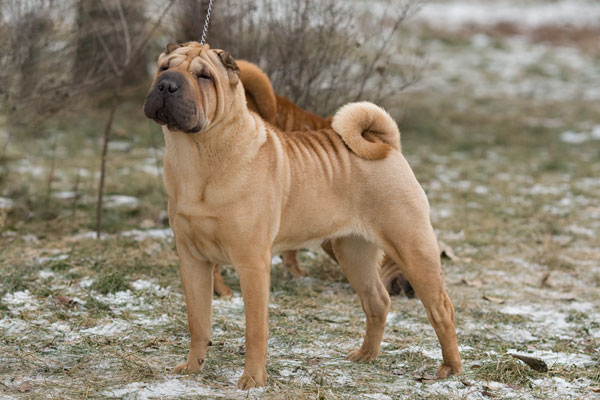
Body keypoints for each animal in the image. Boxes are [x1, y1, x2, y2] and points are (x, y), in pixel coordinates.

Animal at [143, 42, 462, 390]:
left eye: (204, 76)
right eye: (164, 68)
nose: (167, 85)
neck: (198, 153)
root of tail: (385, 144)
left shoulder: (252, 262)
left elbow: (255, 329)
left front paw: (252, 380)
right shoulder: (192, 260)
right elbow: (198, 321)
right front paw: (191, 369)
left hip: (412, 248)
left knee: (441, 309)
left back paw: (451, 368)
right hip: (353, 253)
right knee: (378, 301)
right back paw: (366, 355)